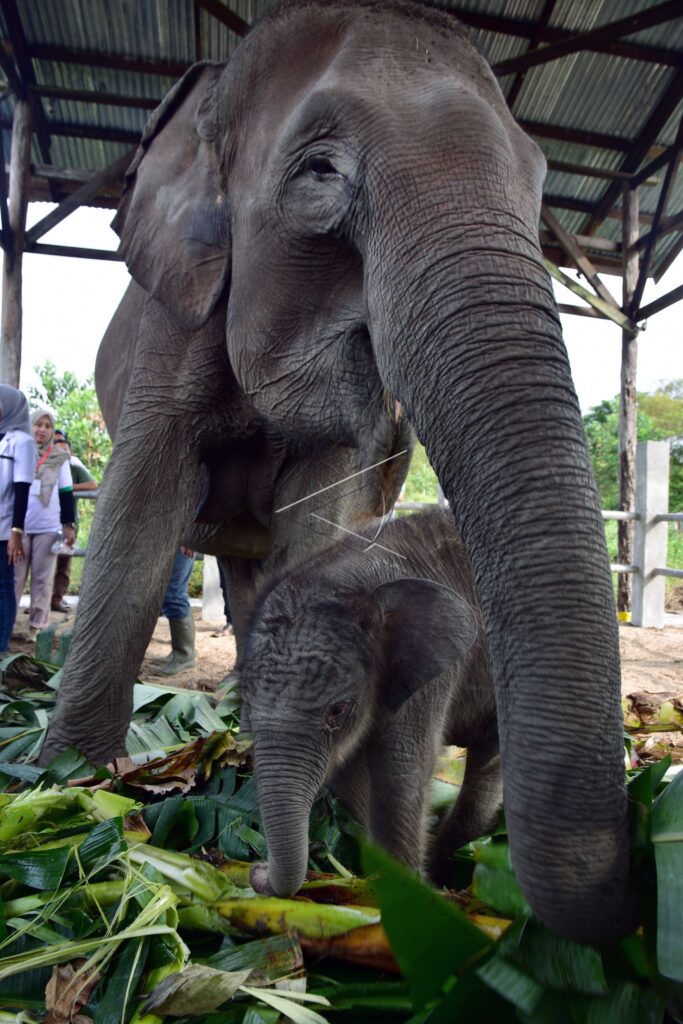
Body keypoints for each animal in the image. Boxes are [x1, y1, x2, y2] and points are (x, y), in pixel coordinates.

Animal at [242, 509, 502, 898]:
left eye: (337, 711)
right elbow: (348, 774)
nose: (256, 869)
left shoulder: (429, 674)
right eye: (245, 703)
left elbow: (399, 770)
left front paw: (407, 892)